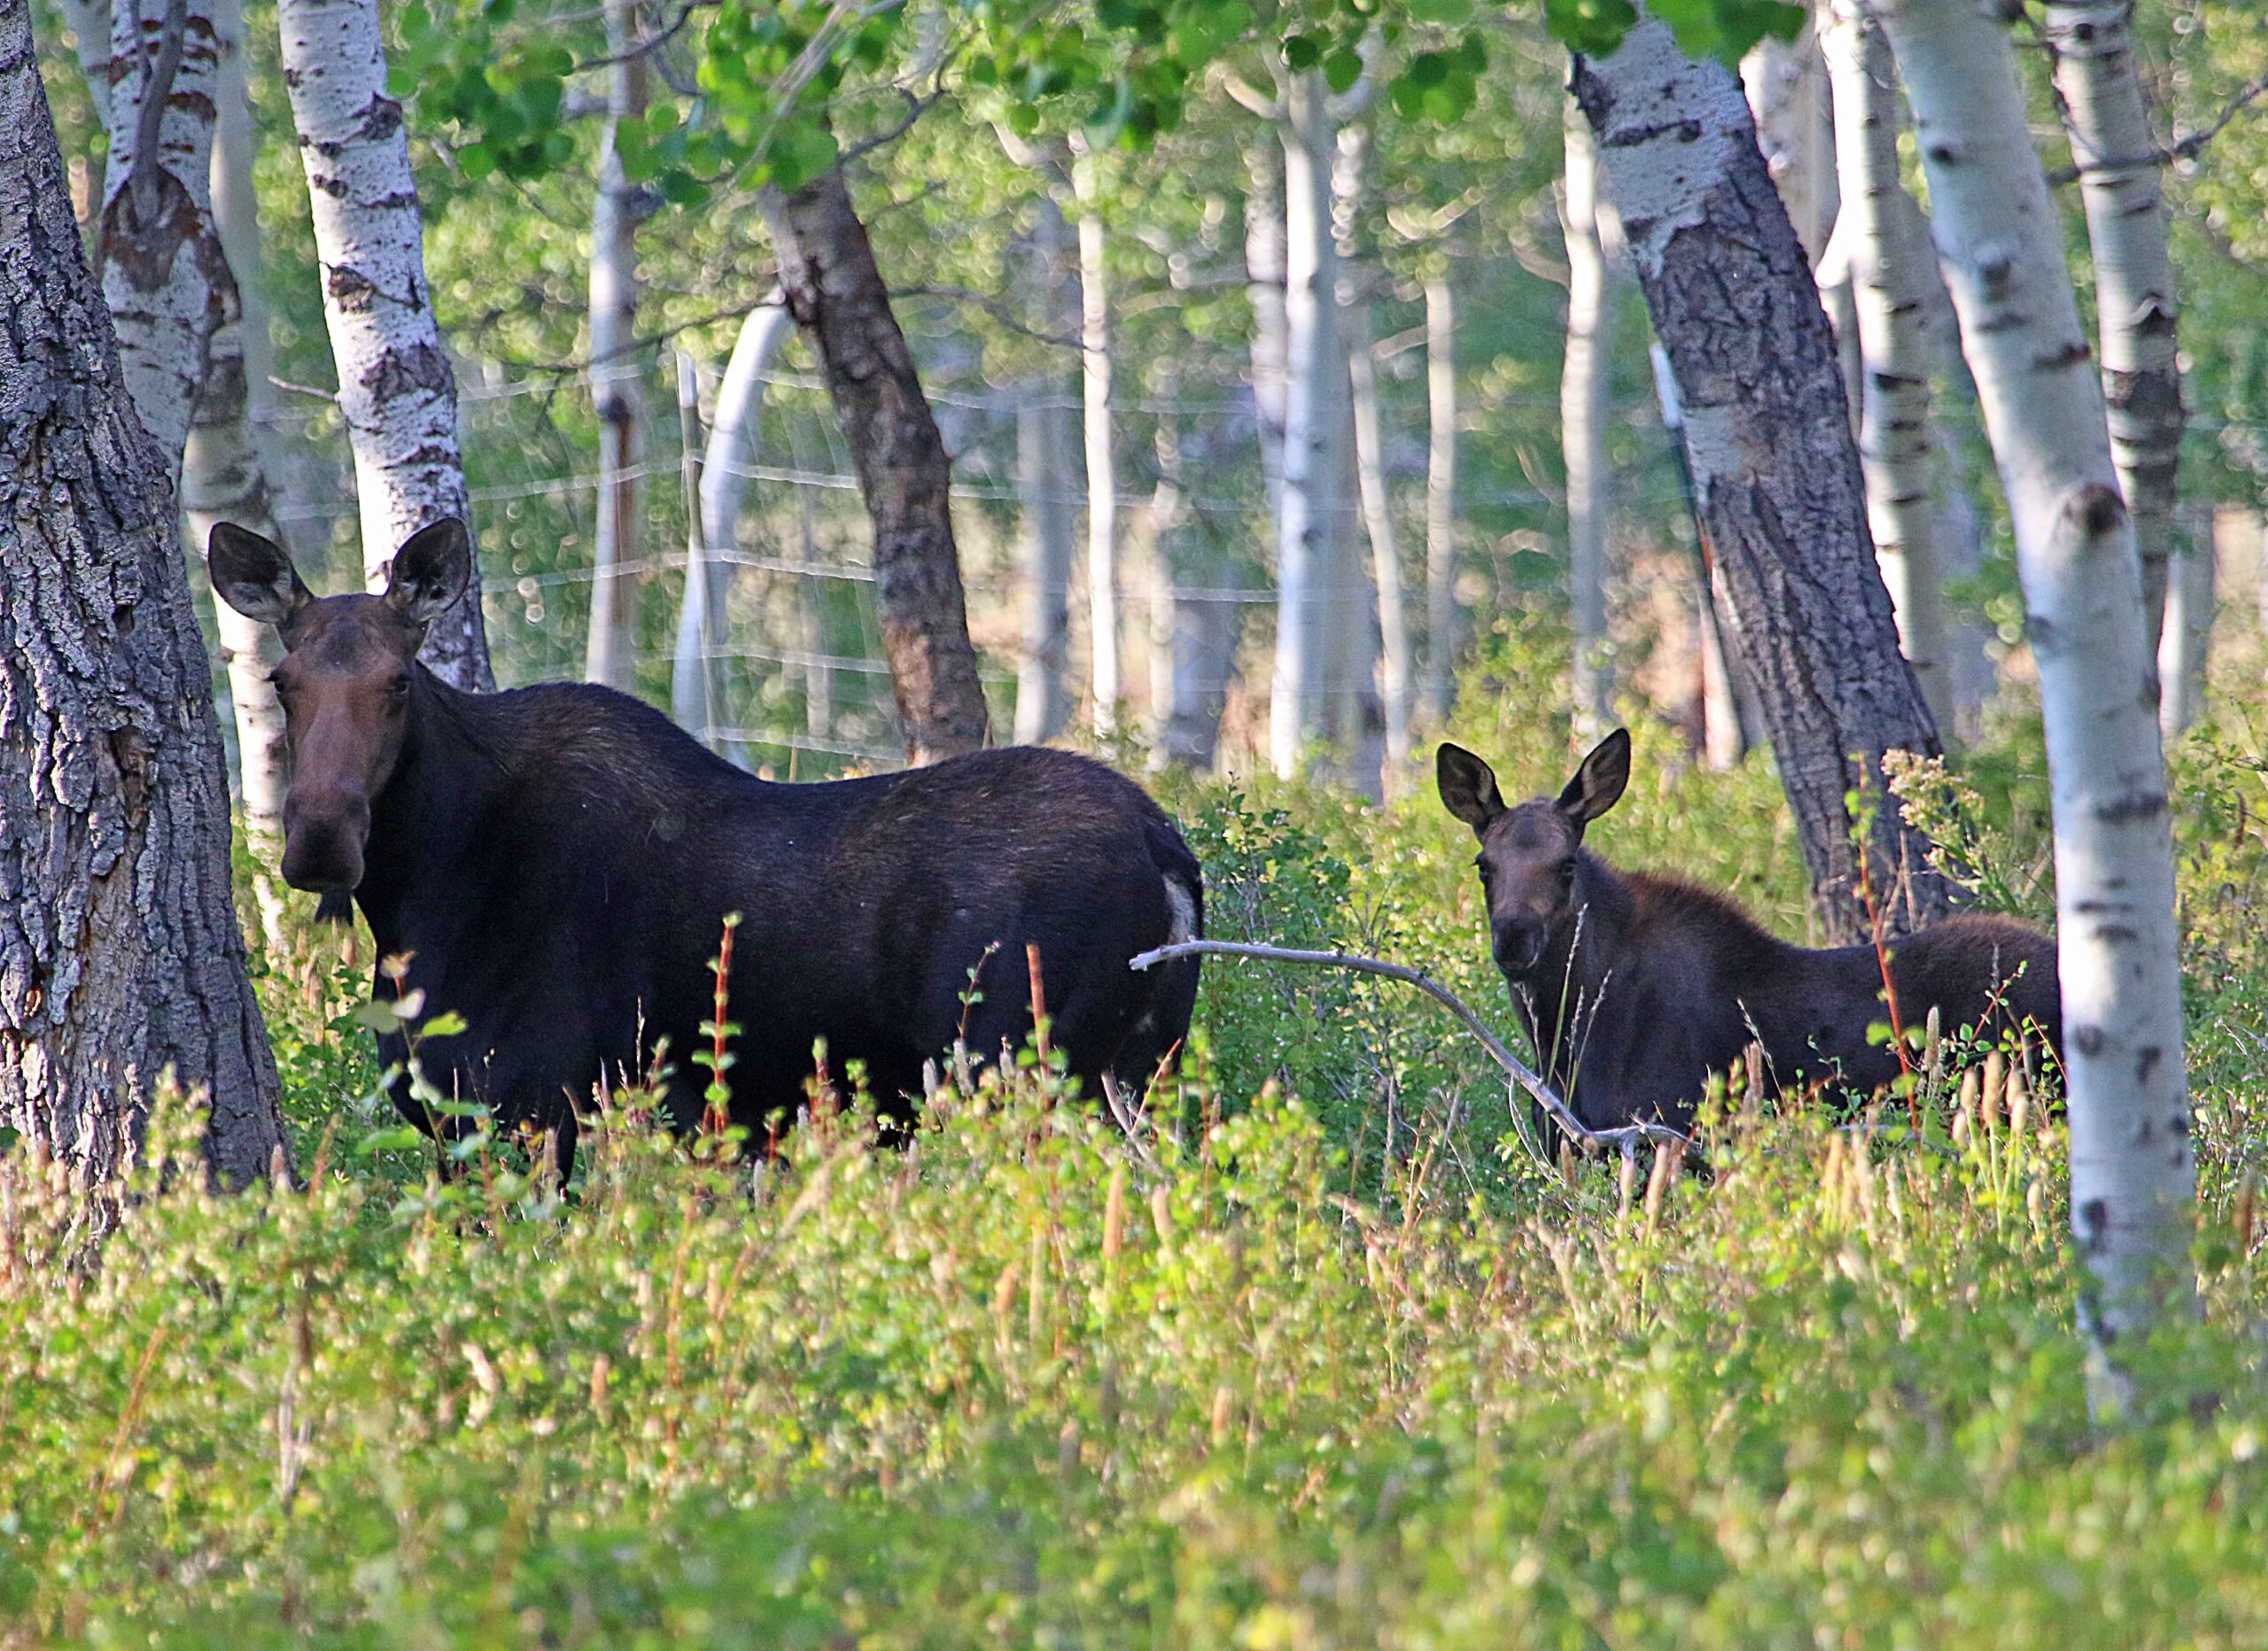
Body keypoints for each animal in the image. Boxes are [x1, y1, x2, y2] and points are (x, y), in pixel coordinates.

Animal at [211, 521, 1206, 1170]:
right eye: (281, 679)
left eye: (396, 682)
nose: (320, 840)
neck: (421, 905)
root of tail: (1166, 848)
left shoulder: (531, 1109)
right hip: (1138, 1073)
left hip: (1016, 1070)